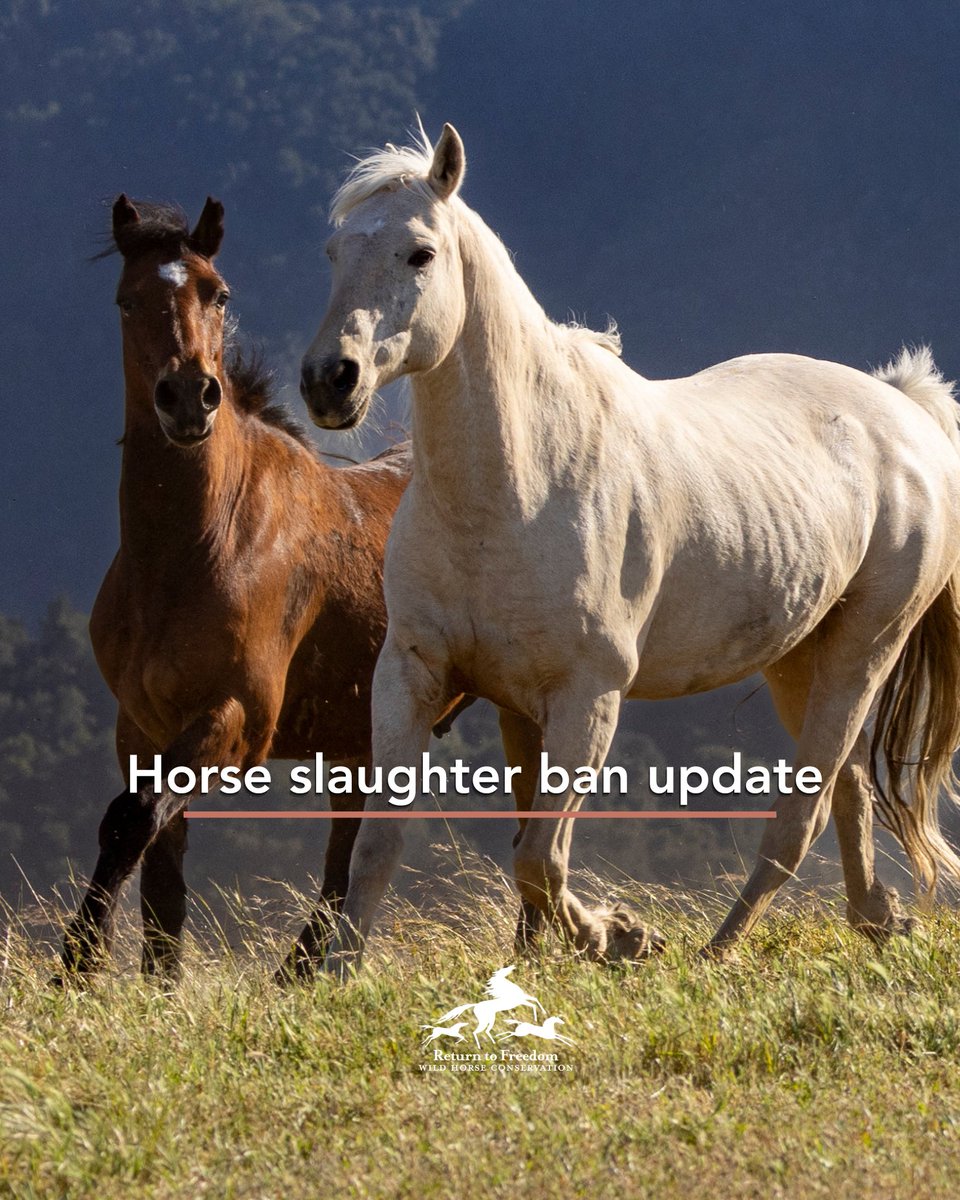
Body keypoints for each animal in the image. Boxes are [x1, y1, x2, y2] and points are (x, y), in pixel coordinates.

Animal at [59, 193, 449, 982]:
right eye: (126, 300)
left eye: (220, 294)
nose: (188, 397)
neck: (198, 548)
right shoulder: (141, 723)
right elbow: (158, 866)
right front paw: (151, 980)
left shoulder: (237, 717)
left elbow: (132, 819)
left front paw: (76, 967)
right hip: (358, 742)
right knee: (342, 861)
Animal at [300, 123, 960, 974]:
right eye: (334, 250)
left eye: (420, 252)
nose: (330, 381)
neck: (515, 488)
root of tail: (906, 410)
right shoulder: (415, 674)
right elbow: (381, 845)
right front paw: (341, 976)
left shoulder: (590, 697)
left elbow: (539, 859)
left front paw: (619, 936)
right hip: (798, 658)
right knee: (844, 789)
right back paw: (875, 919)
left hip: (863, 649)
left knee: (801, 816)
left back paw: (719, 951)